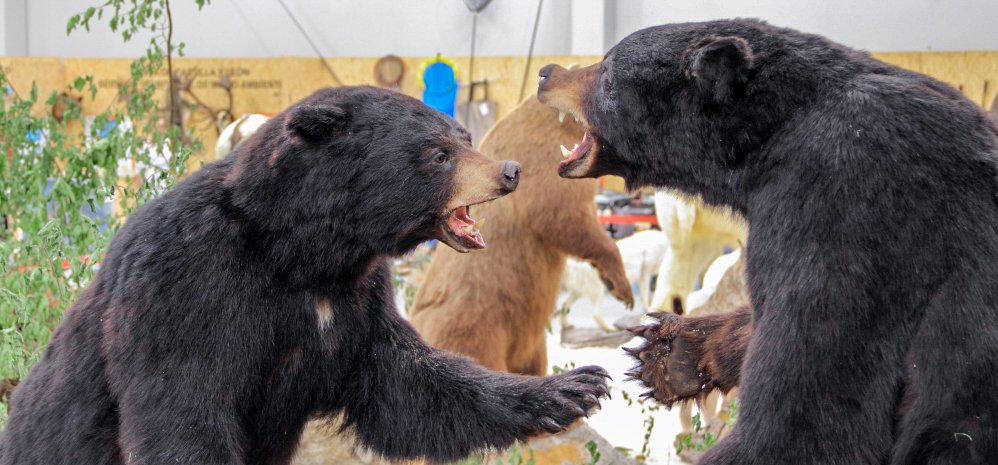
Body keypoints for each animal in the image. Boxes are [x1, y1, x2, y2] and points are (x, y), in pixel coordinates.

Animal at [412, 97, 632, 374]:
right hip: (476, 326)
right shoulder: (542, 159)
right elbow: (562, 217)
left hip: (529, 343)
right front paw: (624, 289)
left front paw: (613, 282)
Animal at [540, 18, 998, 464]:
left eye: (607, 70)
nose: (547, 72)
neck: (772, 136)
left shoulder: (845, 204)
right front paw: (672, 351)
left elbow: (810, 413)